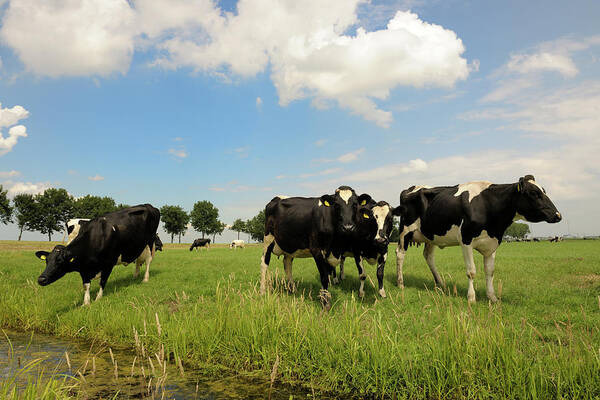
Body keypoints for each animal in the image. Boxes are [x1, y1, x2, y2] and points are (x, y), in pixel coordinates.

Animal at [394, 175, 564, 304]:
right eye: (534, 193)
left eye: (544, 191)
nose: (558, 215)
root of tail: (412, 188)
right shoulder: (466, 240)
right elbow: (471, 272)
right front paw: (471, 298)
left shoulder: (492, 243)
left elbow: (490, 271)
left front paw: (492, 297)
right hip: (405, 231)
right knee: (400, 254)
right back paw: (400, 283)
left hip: (431, 236)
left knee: (428, 256)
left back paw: (440, 284)